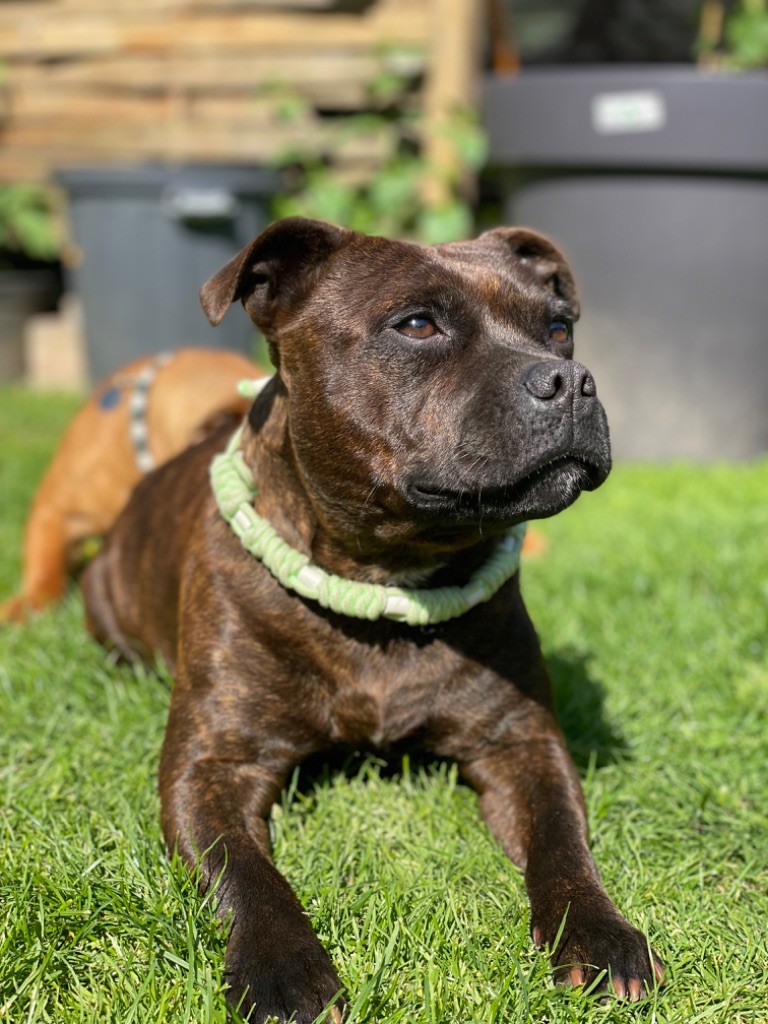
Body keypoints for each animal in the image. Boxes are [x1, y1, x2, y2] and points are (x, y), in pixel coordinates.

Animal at [81, 218, 663, 1024]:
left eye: (558, 329)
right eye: (417, 325)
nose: (569, 380)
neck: (387, 579)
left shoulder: (523, 743)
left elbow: (563, 842)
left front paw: (601, 935)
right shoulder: (212, 765)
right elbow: (247, 876)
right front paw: (282, 971)